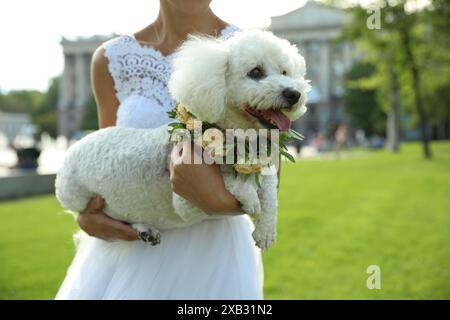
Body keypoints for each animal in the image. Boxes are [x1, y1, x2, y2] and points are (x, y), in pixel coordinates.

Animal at [55, 30, 310, 250]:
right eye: (255, 72)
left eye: (285, 72)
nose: (294, 94)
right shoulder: (188, 202)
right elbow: (230, 180)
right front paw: (249, 196)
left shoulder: (263, 168)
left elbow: (269, 193)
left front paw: (266, 230)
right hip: (76, 197)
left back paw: (144, 230)